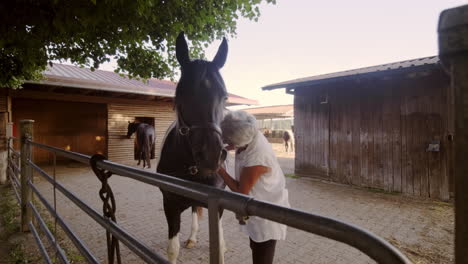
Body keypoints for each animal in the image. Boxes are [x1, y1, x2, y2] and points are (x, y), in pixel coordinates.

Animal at [157, 32, 229, 264]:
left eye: (224, 96)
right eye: (182, 93)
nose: (210, 155)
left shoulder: (218, 206)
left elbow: (219, 244)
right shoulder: (170, 204)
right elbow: (173, 249)